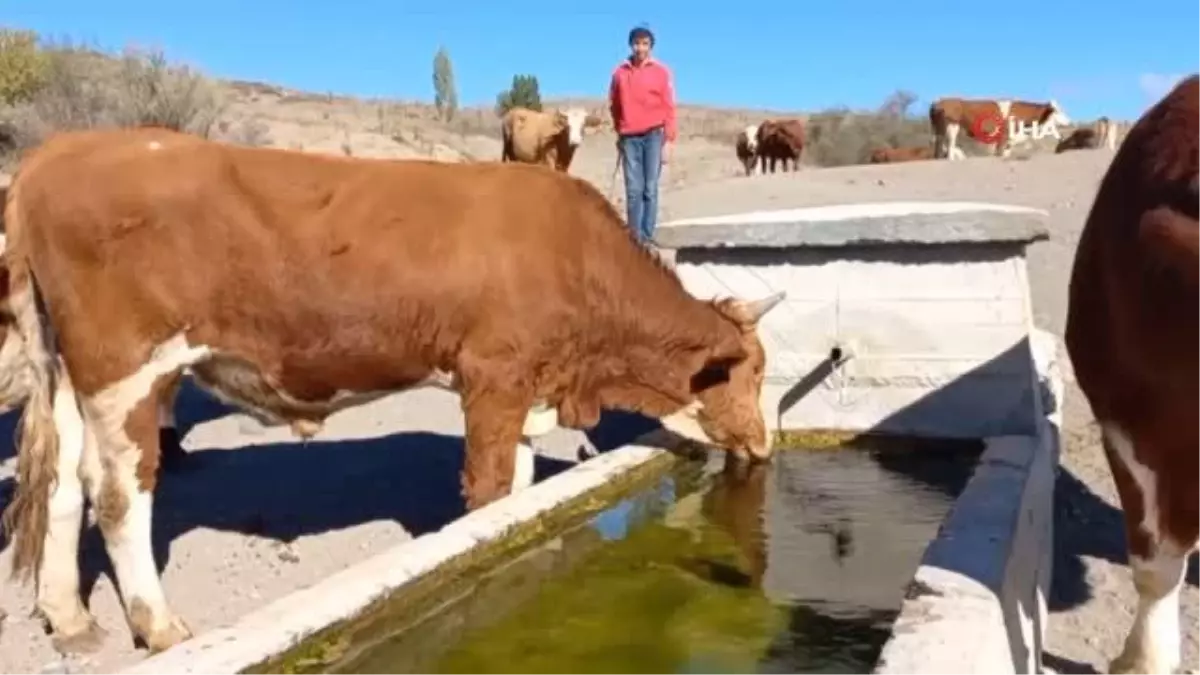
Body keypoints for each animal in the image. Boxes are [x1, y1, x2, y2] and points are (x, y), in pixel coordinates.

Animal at [0, 126, 787, 653]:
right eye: (750, 372)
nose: (764, 446)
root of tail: (53, 154)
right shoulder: (494, 380)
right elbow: (492, 491)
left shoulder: (524, 388)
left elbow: (522, 488)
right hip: (127, 371)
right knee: (118, 494)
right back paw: (159, 625)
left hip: (69, 372)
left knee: (61, 486)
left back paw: (70, 617)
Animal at [926, 96, 1070, 159]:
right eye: (1057, 111)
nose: (1069, 122)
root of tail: (938, 101)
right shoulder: (1003, 137)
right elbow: (1000, 153)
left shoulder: (1009, 140)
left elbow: (1006, 153)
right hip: (952, 126)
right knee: (950, 145)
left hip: (939, 130)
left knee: (939, 146)